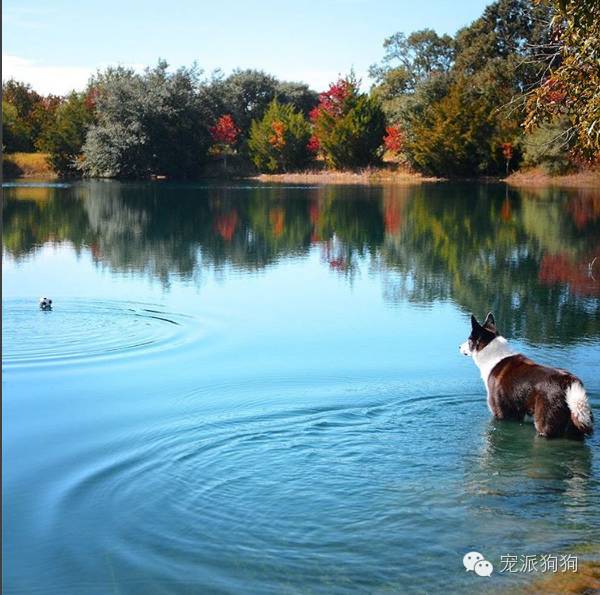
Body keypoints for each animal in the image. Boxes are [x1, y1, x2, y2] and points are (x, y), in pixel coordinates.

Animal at [462, 314, 592, 440]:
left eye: (469, 340)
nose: (459, 346)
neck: (491, 353)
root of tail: (570, 381)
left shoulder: (500, 413)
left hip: (545, 423)